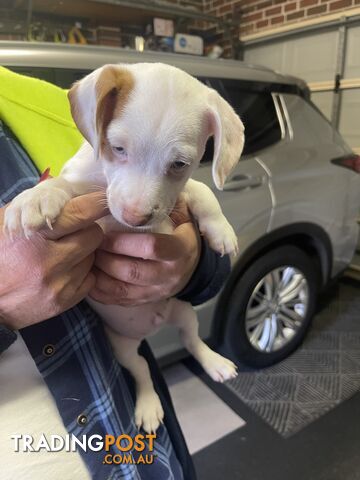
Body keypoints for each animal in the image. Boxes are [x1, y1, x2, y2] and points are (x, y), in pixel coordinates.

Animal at [3, 62, 245, 434]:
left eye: (179, 164)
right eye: (117, 148)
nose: (135, 217)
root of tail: (153, 326)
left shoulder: (178, 195)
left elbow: (202, 189)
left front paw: (220, 230)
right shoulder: (82, 188)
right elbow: (61, 185)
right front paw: (35, 198)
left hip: (184, 312)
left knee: (191, 340)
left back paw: (214, 362)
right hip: (121, 346)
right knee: (142, 370)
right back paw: (148, 405)